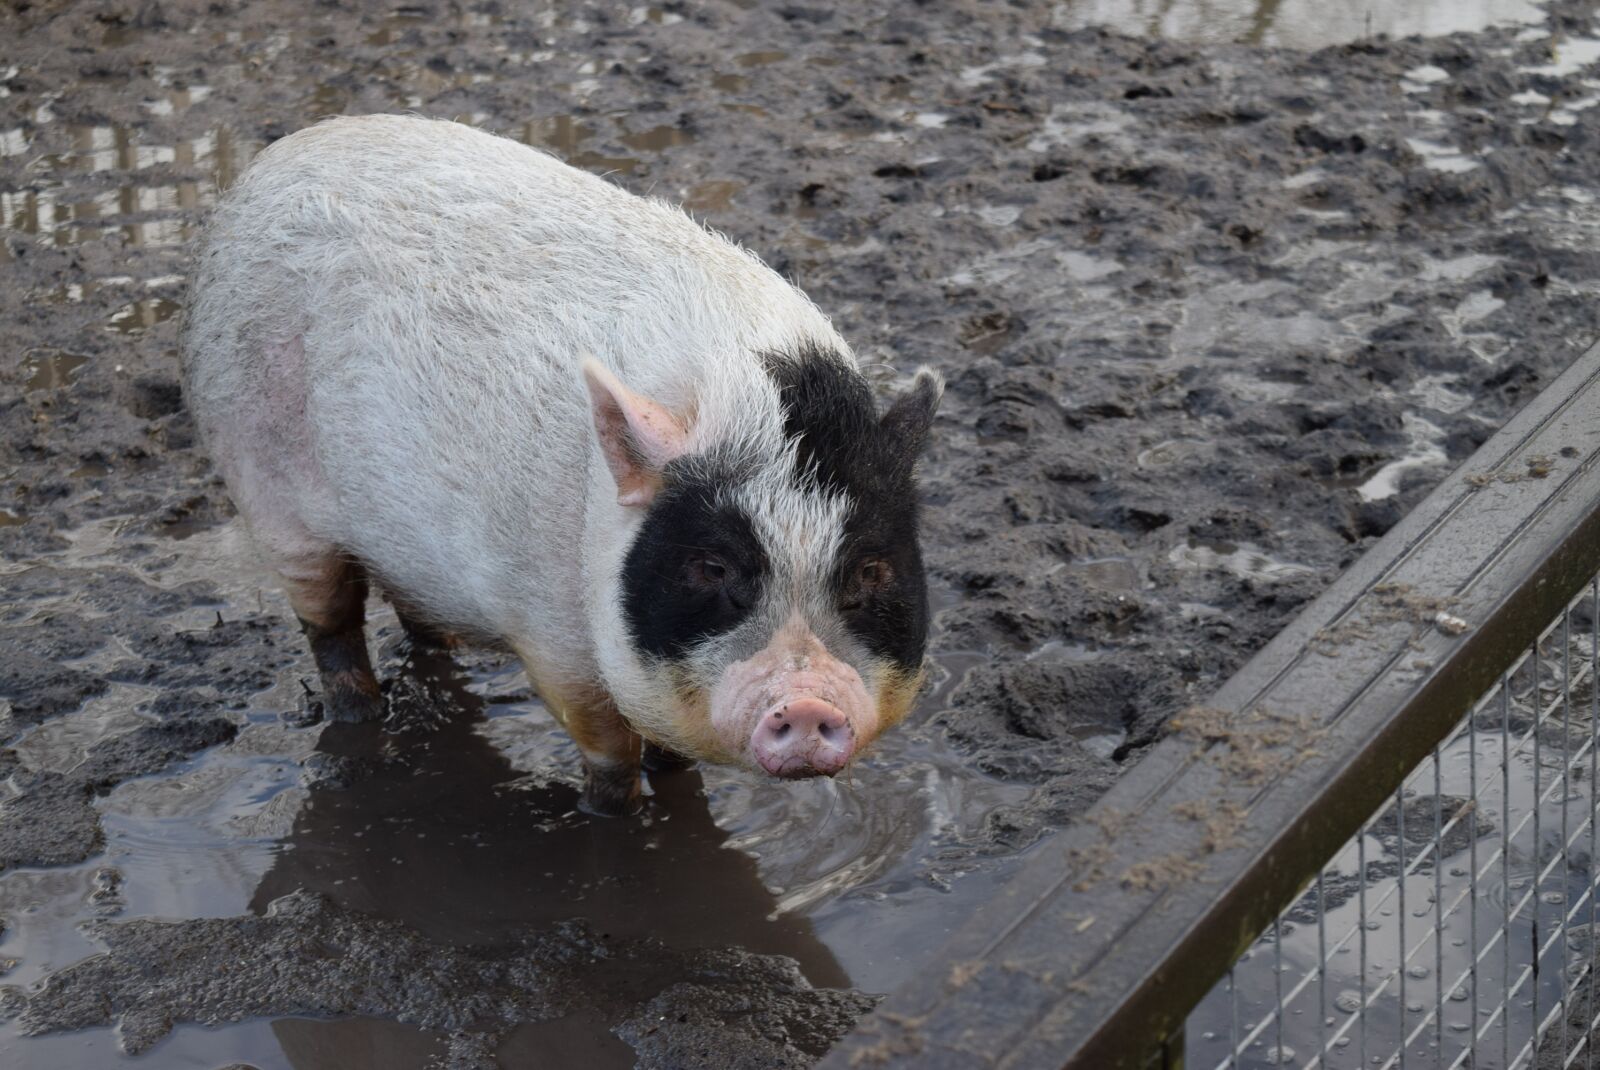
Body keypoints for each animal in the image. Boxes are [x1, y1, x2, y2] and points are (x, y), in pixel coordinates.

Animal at [180, 115, 941, 814]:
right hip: (259, 471)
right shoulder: (556, 644)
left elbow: (670, 757)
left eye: (871, 570)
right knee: (329, 625)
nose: (809, 706)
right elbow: (608, 753)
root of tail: (266, 166)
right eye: (711, 567)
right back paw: (359, 722)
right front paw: (615, 818)